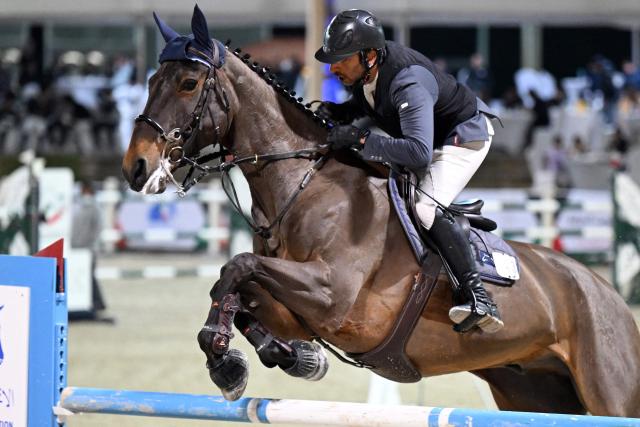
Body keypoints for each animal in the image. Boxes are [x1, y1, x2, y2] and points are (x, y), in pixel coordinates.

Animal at [124, 5, 640, 416]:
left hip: (607, 391)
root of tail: (609, 293)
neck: (305, 185)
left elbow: (237, 266)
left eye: (189, 83)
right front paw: (277, 359)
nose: (136, 167)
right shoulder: (298, 311)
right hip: (532, 389)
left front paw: (228, 362)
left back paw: (479, 305)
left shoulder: (333, 296)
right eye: (150, 81)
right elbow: (238, 291)